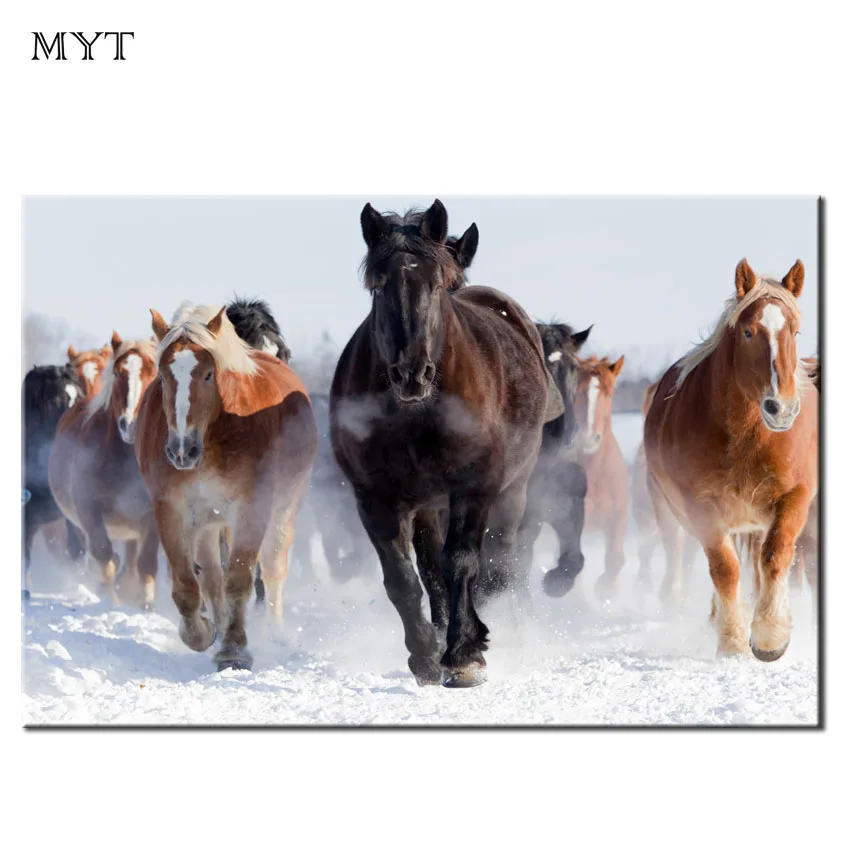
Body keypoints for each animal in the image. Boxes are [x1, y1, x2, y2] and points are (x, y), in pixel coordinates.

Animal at [49, 333, 161, 607]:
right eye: (119, 373)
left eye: (154, 373)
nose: (130, 425)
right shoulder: (89, 510)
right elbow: (103, 556)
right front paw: (110, 598)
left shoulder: (152, 514)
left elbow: (146, 562)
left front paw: (145, 603)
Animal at [137, 303, 317, 671]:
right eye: (162, 376)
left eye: (208, 374)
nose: (182, 450)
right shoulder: (170, 510)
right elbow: (188, 583)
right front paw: (202, 633)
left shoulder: (251, 508)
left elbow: (239, 579)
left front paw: (234, 650)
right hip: (208, 521)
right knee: (209, 576)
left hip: (283, 510)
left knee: (272, 569)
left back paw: (273, 632)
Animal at [330, 200, 564, 688]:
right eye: (379, 286)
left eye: (436, 285)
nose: (411, 373)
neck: (418, 414)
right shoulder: (377, 499)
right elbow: (403, 578)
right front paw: (425, 653)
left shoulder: (474, 488)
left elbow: (462, 563)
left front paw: (463, 654)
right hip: (427, 504)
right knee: (432, 568)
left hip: (513, 490)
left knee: (498, 563)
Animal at [644, 259, 818, 661]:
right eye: (749, 332)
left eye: (795, 330)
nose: (781, 408)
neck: (745, 437)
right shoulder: (701, 507)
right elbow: (724, 569)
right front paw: (733, 640)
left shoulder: (795, 496)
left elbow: (776, 555)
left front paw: (770, 635)